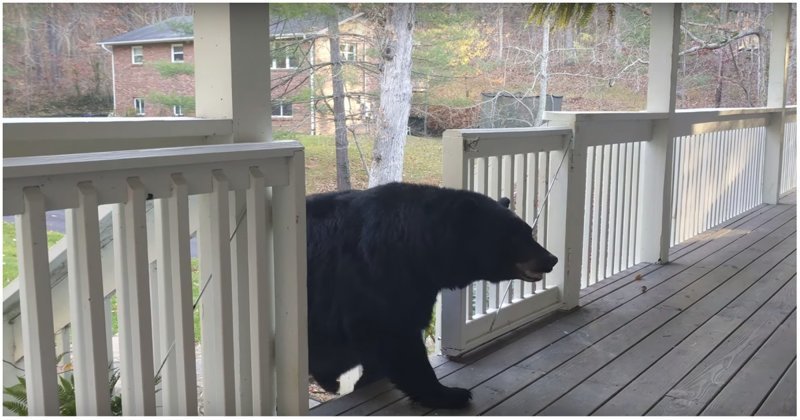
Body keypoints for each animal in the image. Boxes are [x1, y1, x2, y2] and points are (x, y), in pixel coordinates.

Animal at [304, 182, 556, 408]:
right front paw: (451, 394)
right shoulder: (377, 277)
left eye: (529, 232)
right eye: (515, 237)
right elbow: (396, 336)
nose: (551, 259)